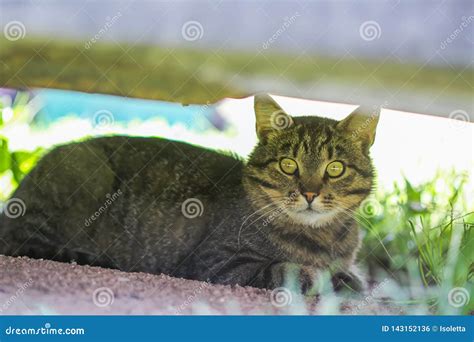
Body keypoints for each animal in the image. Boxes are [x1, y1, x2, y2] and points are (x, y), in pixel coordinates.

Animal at [0, 93, 380, 294]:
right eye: (289, 165)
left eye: (335, 168)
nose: (310, 193)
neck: (321, 238)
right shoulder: (221, 263)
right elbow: (290, 269)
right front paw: (335, 278)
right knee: (23, 241)